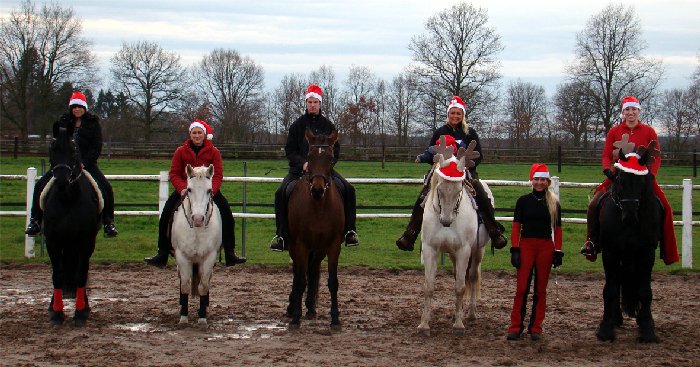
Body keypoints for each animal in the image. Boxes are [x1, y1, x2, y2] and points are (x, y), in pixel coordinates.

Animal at [43, 126, 101, 328]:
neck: (67, 199)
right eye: (52, 149)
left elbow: (81, 274)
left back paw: (85, 306)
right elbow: (57, 275)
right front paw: (57, 314)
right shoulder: (52, 241)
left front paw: (80, 313)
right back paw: (53, 305)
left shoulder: (86, 241)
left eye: (74, 151)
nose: (61, 181)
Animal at [170, 165, 220, 326]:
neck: (197, 230)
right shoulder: (182, 256)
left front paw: (202, 317)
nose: (198, 219)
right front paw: (183, 317)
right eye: (189, 189)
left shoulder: (209, 257)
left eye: (209, 190)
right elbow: (185, 285)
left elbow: (203, 286)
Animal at [286, 129, 346, 330]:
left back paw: (310, 308)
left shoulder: (333, 245)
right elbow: (300, 280)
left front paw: (335, 319)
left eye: (330, 158)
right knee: (298, 273)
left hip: (319, 250)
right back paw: (292, 307)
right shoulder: (300, 245)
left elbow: (332, 282)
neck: (319, 206)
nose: (318, 190)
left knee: (311, 270)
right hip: (295, 247)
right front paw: (296, 318)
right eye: (309, 157)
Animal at [418, 139, 490, 340]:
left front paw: (458, 325)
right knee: (459, 275)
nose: (446, 221)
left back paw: (471, 313)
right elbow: (429, 286)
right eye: (440, 189)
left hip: (478, 251)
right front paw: (424, 325)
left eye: (459, 190)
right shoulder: (430, 249)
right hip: (452, 254)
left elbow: (460, 287)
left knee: (471, 277)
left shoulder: (464, 251)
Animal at [596, 136, 660, 344]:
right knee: (617, 283)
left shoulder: (647, 253)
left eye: (642, 182)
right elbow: (610, 290)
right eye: (620, 180)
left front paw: (648, 329)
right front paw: (605, 329)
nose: (630, 216)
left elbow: (645, 291)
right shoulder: (610, 252)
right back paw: (615, 318)